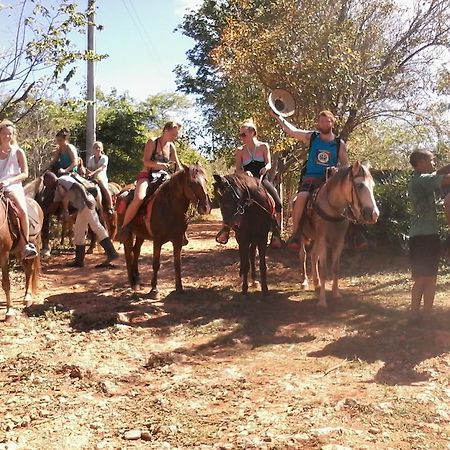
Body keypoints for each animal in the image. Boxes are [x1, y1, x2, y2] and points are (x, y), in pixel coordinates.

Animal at [0, 190, 43, 320]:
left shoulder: (4, 255)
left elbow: (6, 283)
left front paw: (9, 312)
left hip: (34, 244)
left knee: (29, 271)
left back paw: (27, 298)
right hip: (19, 252)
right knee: (26, 270)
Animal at [119, 163, 211, 298]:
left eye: (205, 180)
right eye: (191, 183)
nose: (205, 207)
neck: (169, 207)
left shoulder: (177, 241)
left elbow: (177, 264)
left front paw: (179, 288)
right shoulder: (157, 240)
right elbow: (156, 264)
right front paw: (154, 289)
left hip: (141, 234)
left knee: (136, 251)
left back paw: (138, 279)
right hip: (129, 233)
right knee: (128, 252)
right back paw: (133, 282)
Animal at [298, 160, 380, 308]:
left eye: (373, 185)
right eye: (359, 185)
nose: (374, 215)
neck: (333, 207)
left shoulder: (339, 242)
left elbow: (335, 268)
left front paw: (336, 294)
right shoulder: (323, 240)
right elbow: (324, 270)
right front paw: (322, 301)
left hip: (316, 238)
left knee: (313, 255)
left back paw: (316, 283)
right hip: (303, 235)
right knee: (303, 255)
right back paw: (305, 282)